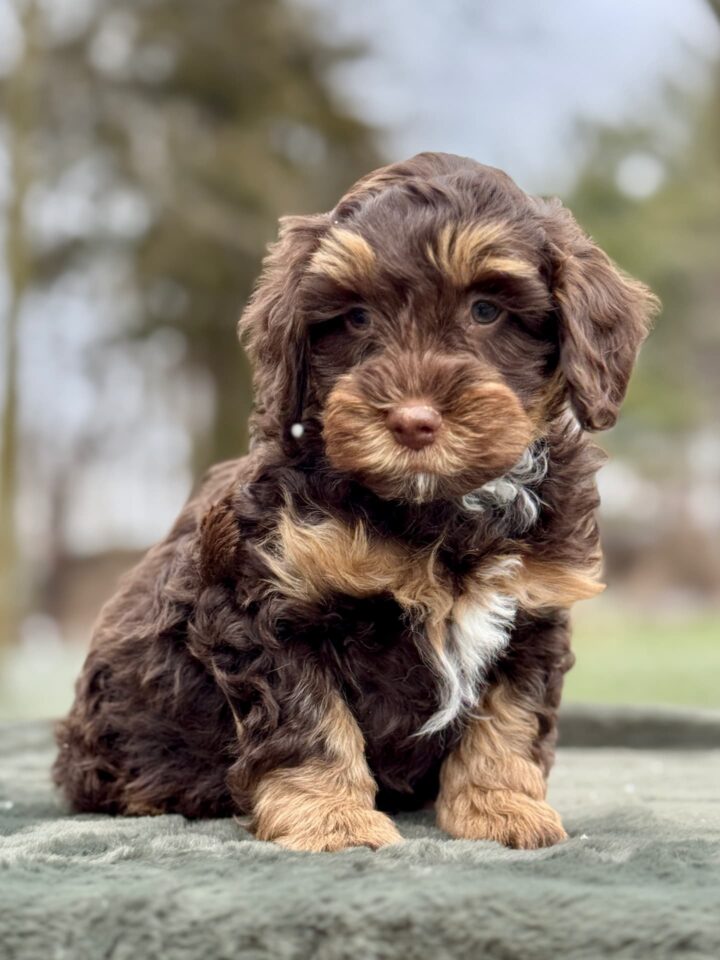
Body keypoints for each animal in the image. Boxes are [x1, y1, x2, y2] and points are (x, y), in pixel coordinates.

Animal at [53, 154, 660, 852]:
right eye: (357, 318)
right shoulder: (263, 605)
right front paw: (332, 820)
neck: (439, 508)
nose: (413, 422)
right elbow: (310, 718)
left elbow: (509, 717)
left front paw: (501, 808)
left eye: (485, 309)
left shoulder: (534, 608)